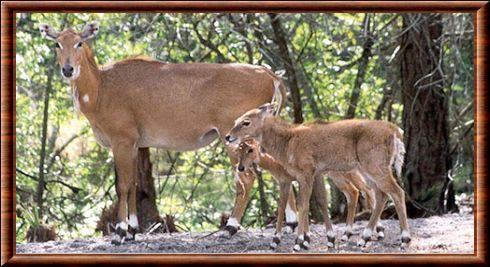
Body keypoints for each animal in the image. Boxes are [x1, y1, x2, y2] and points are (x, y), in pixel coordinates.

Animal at [39, 22, 288, 245]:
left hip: (233, 136)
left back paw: (230, 228)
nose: (68, 69)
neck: (101, 87)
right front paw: (132, 231)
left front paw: (119, 233)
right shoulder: (134, 145)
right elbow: (134, 185)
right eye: (57, 44)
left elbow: (122, 185)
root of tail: (269, 74)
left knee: (246, 177)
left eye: (79, 43)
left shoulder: (121, 141)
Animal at [226, 104, 410, 251]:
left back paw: (404, 239)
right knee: (380, 195)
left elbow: (302, 204)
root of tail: (395, 131)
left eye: (246, 122)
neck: (287, 142)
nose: (228, 136)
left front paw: (298, 242)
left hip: (374, 167)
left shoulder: (305, 173)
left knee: (396, 192)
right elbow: (318, 201)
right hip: (367, 171)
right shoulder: (317, 173)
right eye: (236, 120)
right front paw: (327, 239)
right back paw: (364, 238)